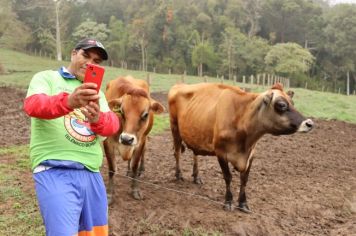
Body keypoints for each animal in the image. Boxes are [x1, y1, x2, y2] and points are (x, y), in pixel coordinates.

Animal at [103, 75, 164, 203]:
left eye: (145, 114)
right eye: (121, 111)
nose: (126, 139)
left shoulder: (140, 142)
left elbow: (135, 165)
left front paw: (135, 190)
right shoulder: (107, 141)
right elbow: (112, 168)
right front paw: (110, 194)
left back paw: (141, 170)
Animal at [168, 82, 312, 212]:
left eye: (292, 103)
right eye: (281, 105)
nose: (309, 123)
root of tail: (179, 85)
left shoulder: (251, 154)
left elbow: (244, 179)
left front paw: (243, 203)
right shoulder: (220, 152)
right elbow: (228, 177)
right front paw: (228, 202)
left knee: (195, 153)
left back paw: (196, 177)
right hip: (175, 128)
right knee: (177, 153)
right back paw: (178, 175)